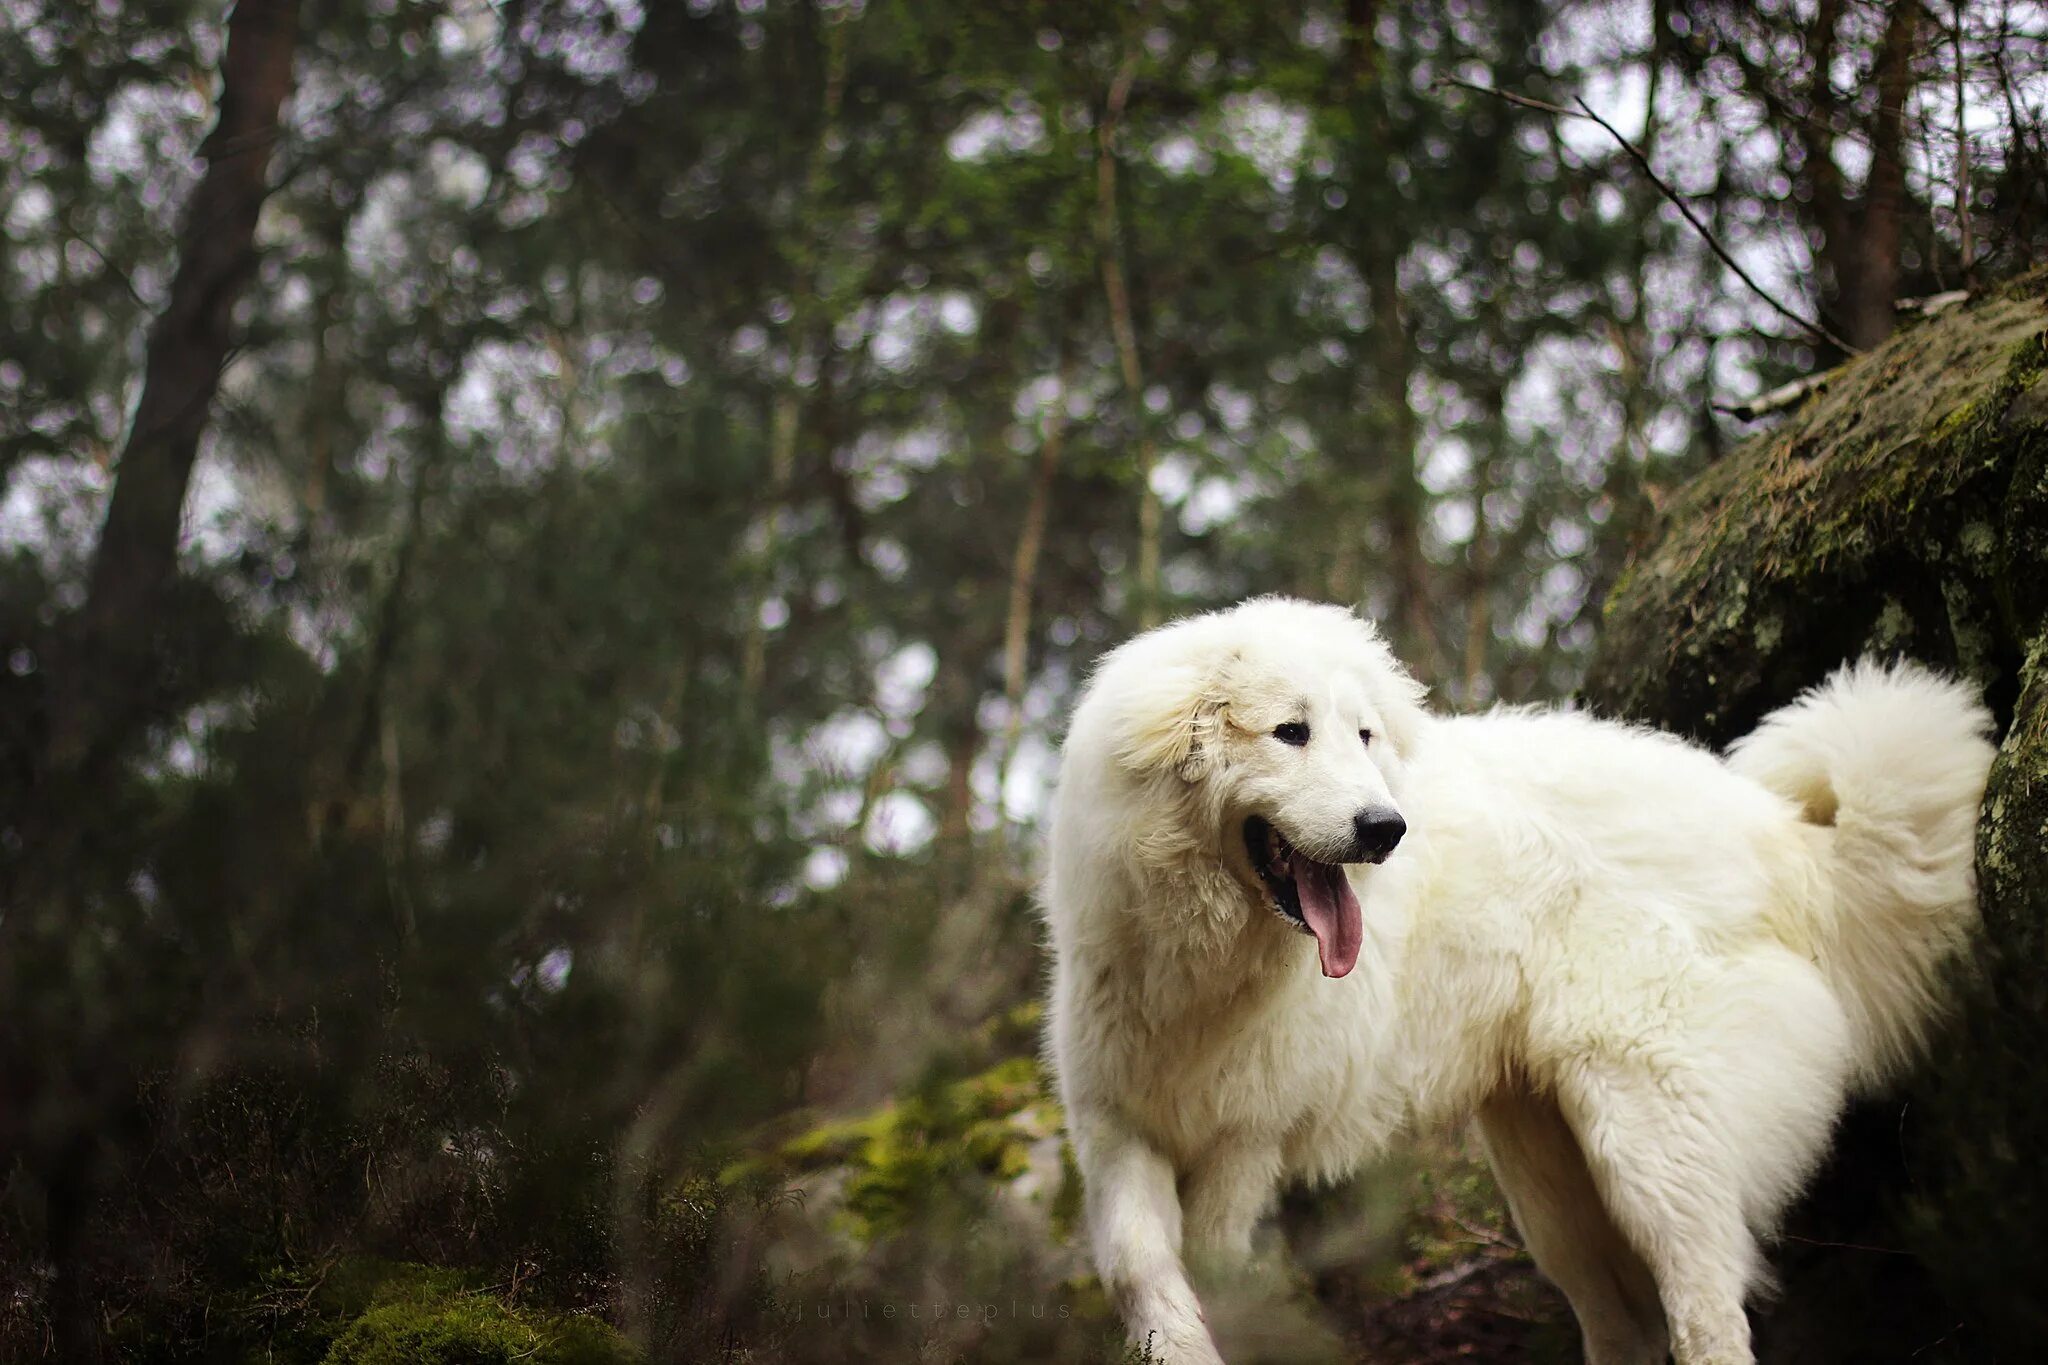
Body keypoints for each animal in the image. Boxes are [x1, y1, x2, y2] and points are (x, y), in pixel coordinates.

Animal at [1048, 597, 1990, 1365]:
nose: (1386, 828)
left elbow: (1209, 1261)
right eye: (1291, 732)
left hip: (1651, 1146)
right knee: (1624, 1325)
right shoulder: (1115, 1122)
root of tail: (1779, 836)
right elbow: (1138, 1263)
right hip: (1552, 1176)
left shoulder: (1248, 1139)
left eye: (1364, 736)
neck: (1200, 957)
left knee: (1707, 1316)